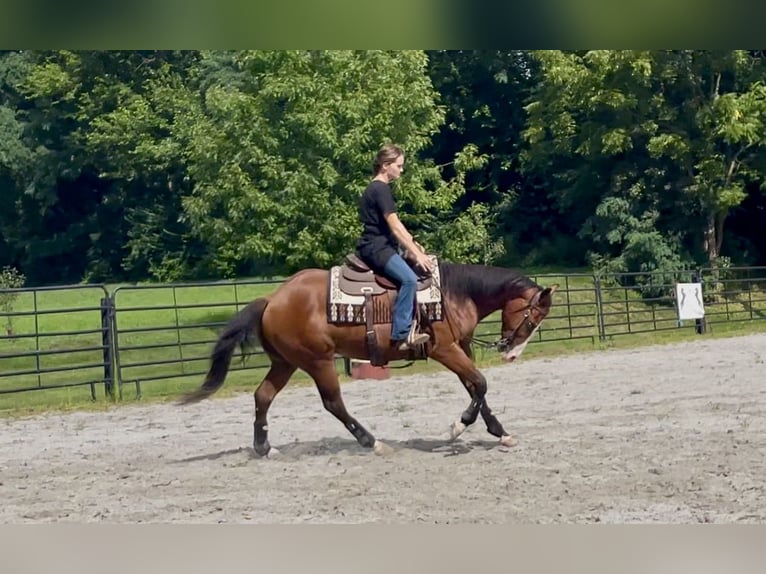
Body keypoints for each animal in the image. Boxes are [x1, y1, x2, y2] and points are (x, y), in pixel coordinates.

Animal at [178, 257, 557, 457]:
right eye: (534, 317)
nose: (511, 352)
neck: (454, 293)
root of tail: (272, 298)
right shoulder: (445, 349)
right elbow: (479, 383)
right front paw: (457, 427)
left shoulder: (459, 348)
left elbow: (476, 387)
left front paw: (500, 432)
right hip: (317, 361)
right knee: (333, 402)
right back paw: (372, 441)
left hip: (286, 362)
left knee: (263, 395)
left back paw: (263, 447)